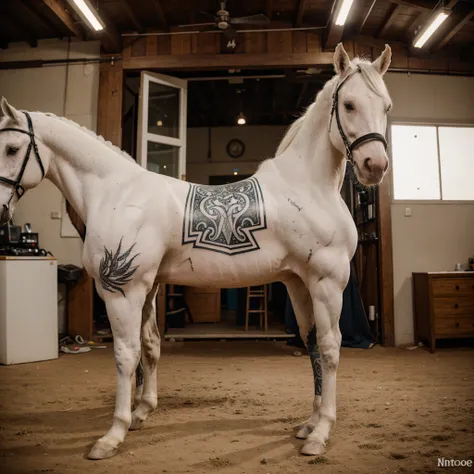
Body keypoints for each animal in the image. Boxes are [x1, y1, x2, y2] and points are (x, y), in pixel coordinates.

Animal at [0, 43, 392, 460]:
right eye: (348, 104)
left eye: (385, 106)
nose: (374, 165)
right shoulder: (145, 289)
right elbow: (149, 348)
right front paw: (141, 411)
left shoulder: (123, 291)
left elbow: (126, 355)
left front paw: (113, 433)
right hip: (300, 286)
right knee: (314, 343)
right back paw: (310, 423)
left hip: (324, 286)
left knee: (330, 348)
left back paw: (321, 431)